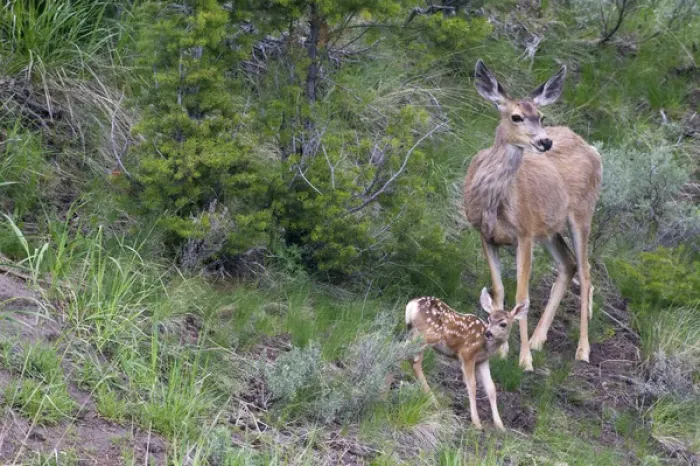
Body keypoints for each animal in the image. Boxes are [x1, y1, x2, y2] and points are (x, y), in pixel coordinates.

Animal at [405, 290, 528, 431]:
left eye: (503, 324)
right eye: (489, 319)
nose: (488, 333)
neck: (486, 346)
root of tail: (412, 305)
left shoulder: (482, 361)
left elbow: (491, 388)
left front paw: (500, 425)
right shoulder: (467, 354)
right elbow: (472, 385)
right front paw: (477, 423)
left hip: (413, 331)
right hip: (427, 336)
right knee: (413, 359)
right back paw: (433, 400)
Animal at [463, 59, 602, 371]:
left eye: (541, 115)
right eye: (516, 117)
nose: (545, 142)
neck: (495, 202)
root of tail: (591, 148)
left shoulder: (524, 233)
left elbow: (521, 296)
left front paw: (524, 360)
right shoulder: (485, 235)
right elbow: (499, 290)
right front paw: (502, 350)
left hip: (581, 213)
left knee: (586, 272)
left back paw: (582, 350)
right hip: (549, 228)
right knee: (568, 264)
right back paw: (539, 339)